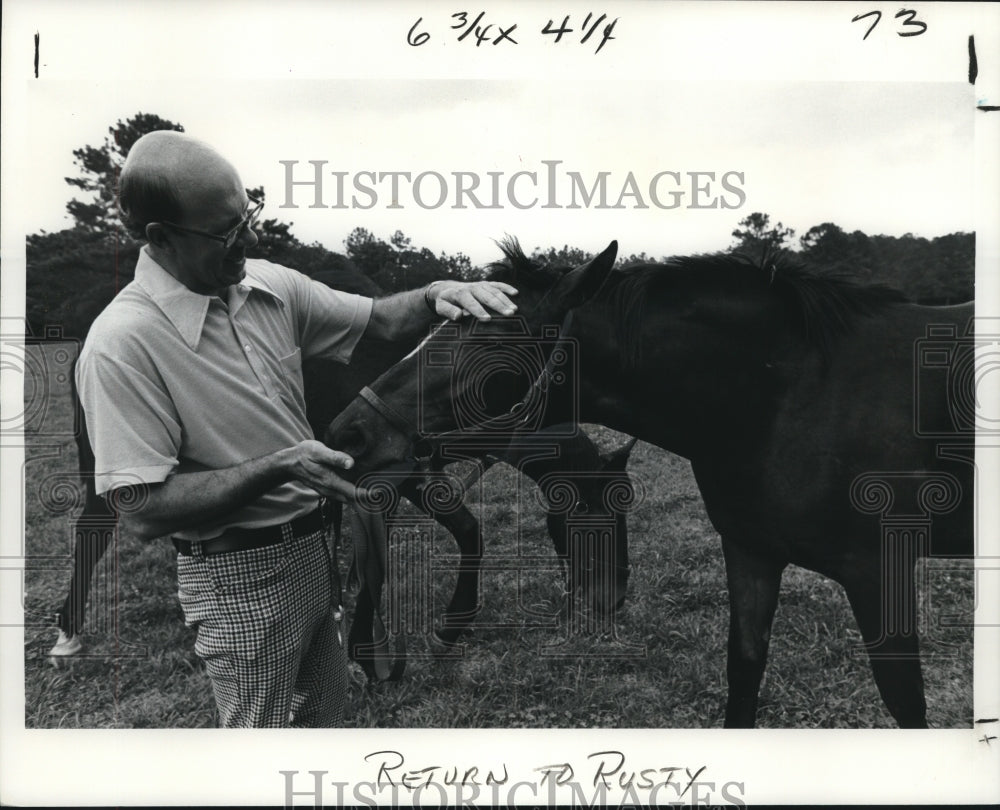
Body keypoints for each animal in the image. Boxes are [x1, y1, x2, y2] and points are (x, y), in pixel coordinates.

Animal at [330, 238, 976, 724]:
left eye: (488, 341)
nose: (349, 433)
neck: (791, 392)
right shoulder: (753, 553)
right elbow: (744, 674)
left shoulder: (877, 569)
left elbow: (904, 700)